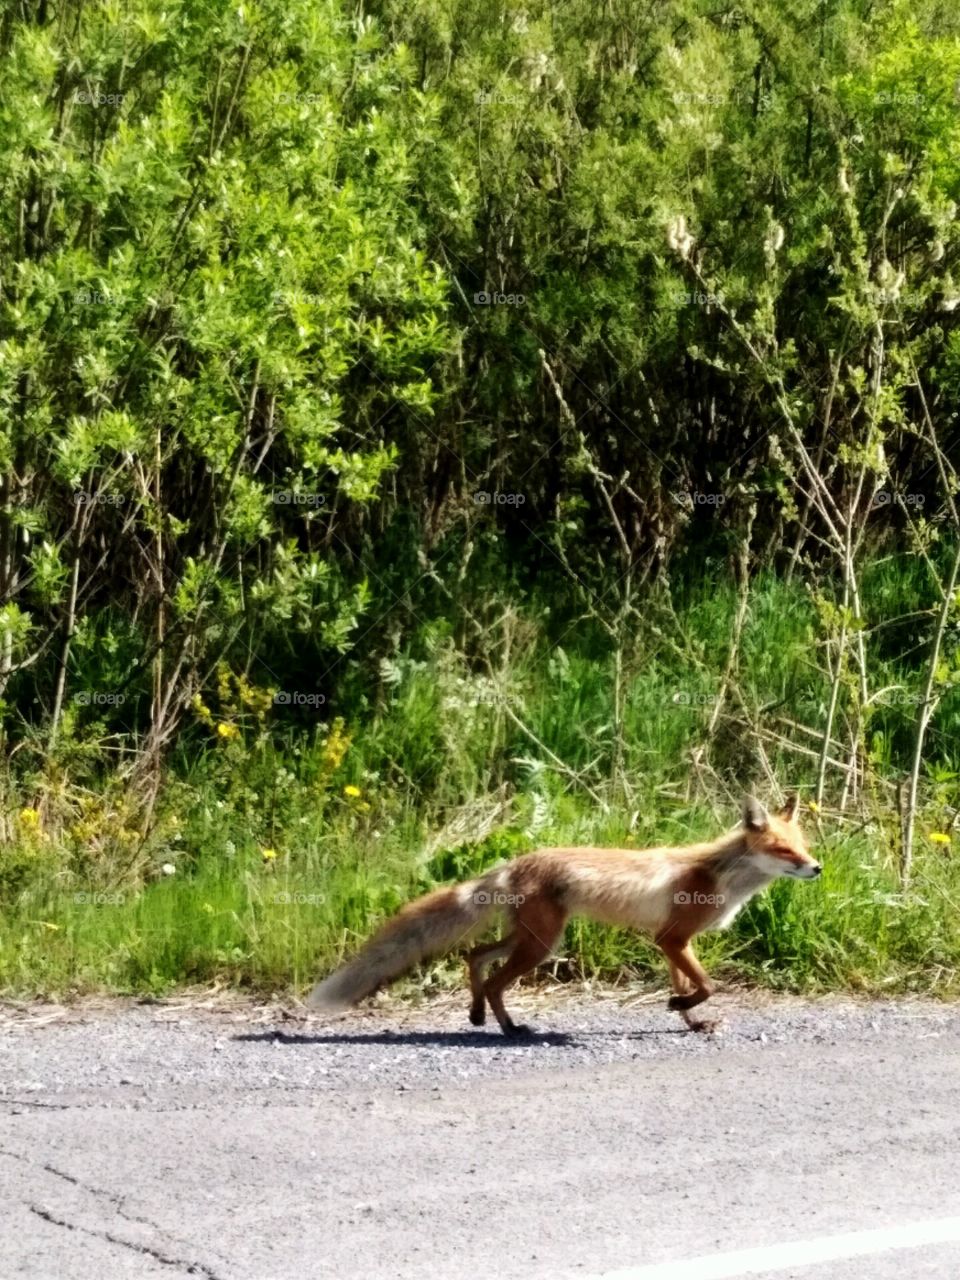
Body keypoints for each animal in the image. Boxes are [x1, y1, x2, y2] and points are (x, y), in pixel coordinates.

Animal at [306, 794, 821, 1035]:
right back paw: (509, 1028)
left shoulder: (672, 940)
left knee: (475, 955)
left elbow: (690, 987)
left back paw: (477, 1015)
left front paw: (690, 1021)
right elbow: (708, 985)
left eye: (804, 846)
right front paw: (682, 1007)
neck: (721, 876)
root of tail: (515, 863)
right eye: (783, 850)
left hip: (528, 937)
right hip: (540, 945)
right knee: (494, 978)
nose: (817, 868)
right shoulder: (673, 938)